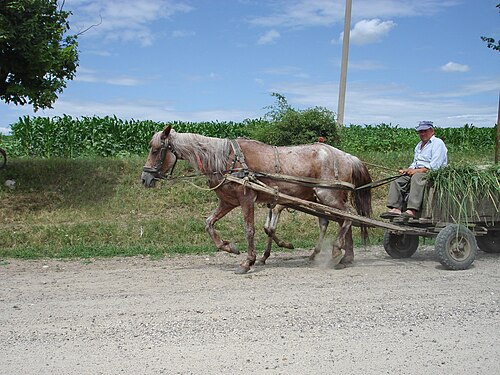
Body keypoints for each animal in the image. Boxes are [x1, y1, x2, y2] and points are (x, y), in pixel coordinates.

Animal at [141, 125, 372, 274]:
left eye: (155, 150)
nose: (144, 178)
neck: (228, 159)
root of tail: (347, 156)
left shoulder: (247, 199)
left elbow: (249, 230)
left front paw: (248, 262)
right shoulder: (227, 202)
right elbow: (208, 223)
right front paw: (229, 247)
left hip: (327, 195)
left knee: (348, 216)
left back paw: (336, 250)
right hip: (326, 198)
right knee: (341, 220)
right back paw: (345, 257)